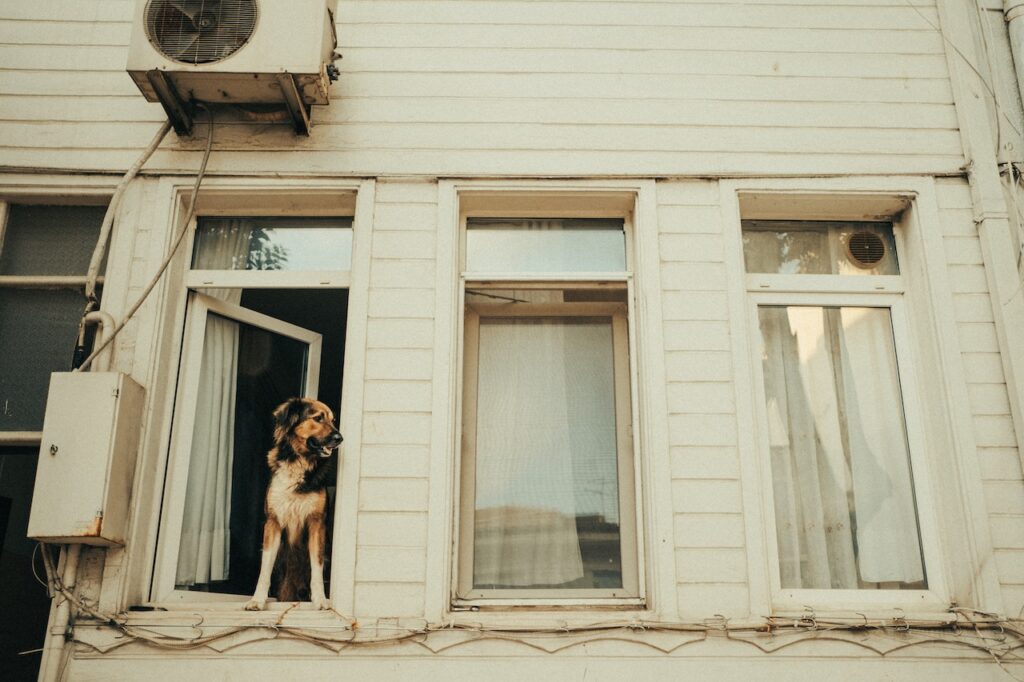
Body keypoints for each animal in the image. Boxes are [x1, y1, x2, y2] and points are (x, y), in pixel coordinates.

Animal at [244, 395, 342, 606]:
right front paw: (257, 600)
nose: (340, 438)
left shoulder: (317, 523)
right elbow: (265, 567)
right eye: (318, 418)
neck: (299, 461)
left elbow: (317, 567)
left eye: (333, 420)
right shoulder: (273, 522)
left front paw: (320, 599)